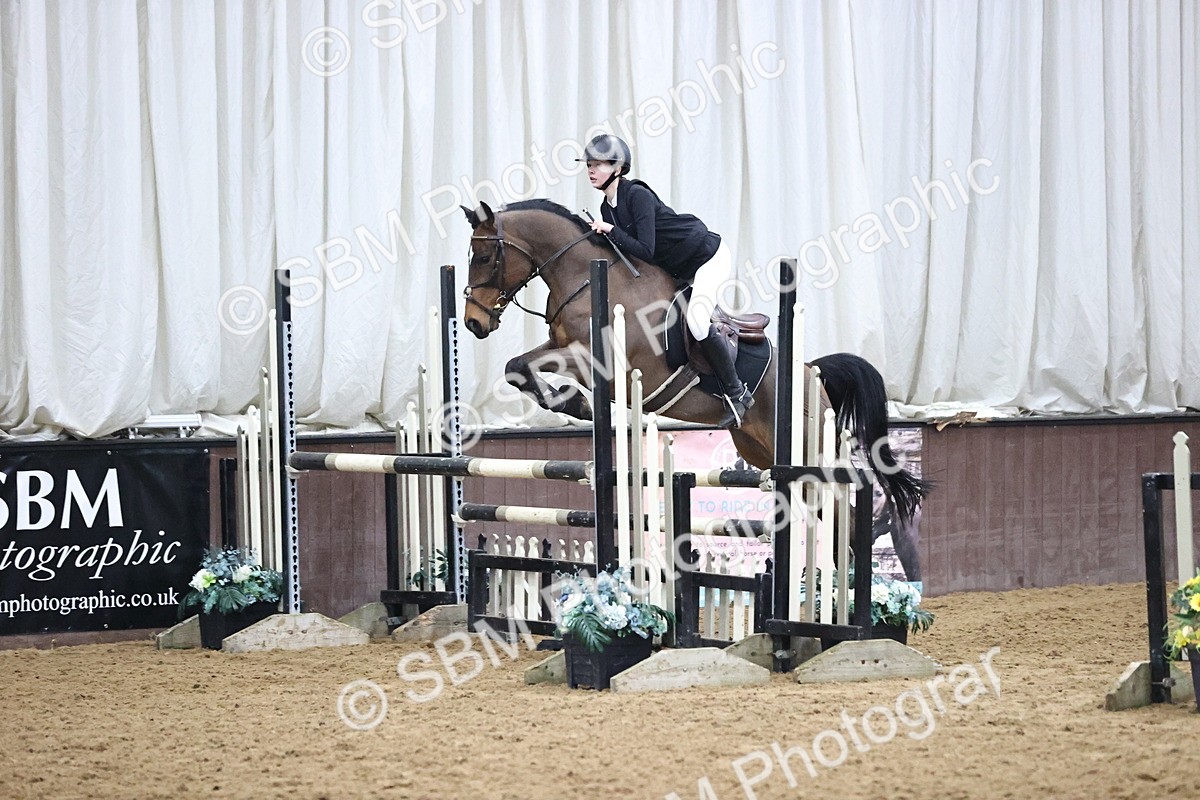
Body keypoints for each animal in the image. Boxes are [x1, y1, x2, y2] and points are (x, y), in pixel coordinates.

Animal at [459, 198, 929, 529]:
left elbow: (532, 369)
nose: (473, 322)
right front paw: (570, 403)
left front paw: (574, 404)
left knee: (839, 513)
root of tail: (813, 372)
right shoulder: (562, 347)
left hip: (807, 451)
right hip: (760, 452)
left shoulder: (600, 361)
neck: (583, 278)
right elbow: (517, 366)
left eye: (483, 257)